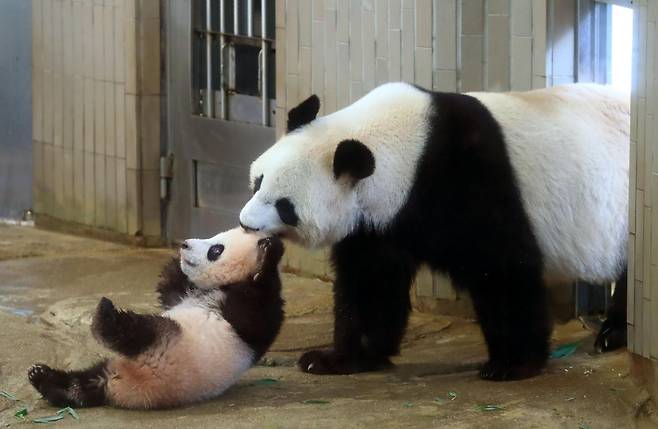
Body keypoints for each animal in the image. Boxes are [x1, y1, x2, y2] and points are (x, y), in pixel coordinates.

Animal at [238, 82, 628, 380]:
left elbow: (503, 269)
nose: (246, 224)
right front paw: (337, 358)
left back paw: (612, 335)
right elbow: (371, 280)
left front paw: (512, 364)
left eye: (285, 206)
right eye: (258, 182)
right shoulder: (378, 221)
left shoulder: (469, 178)